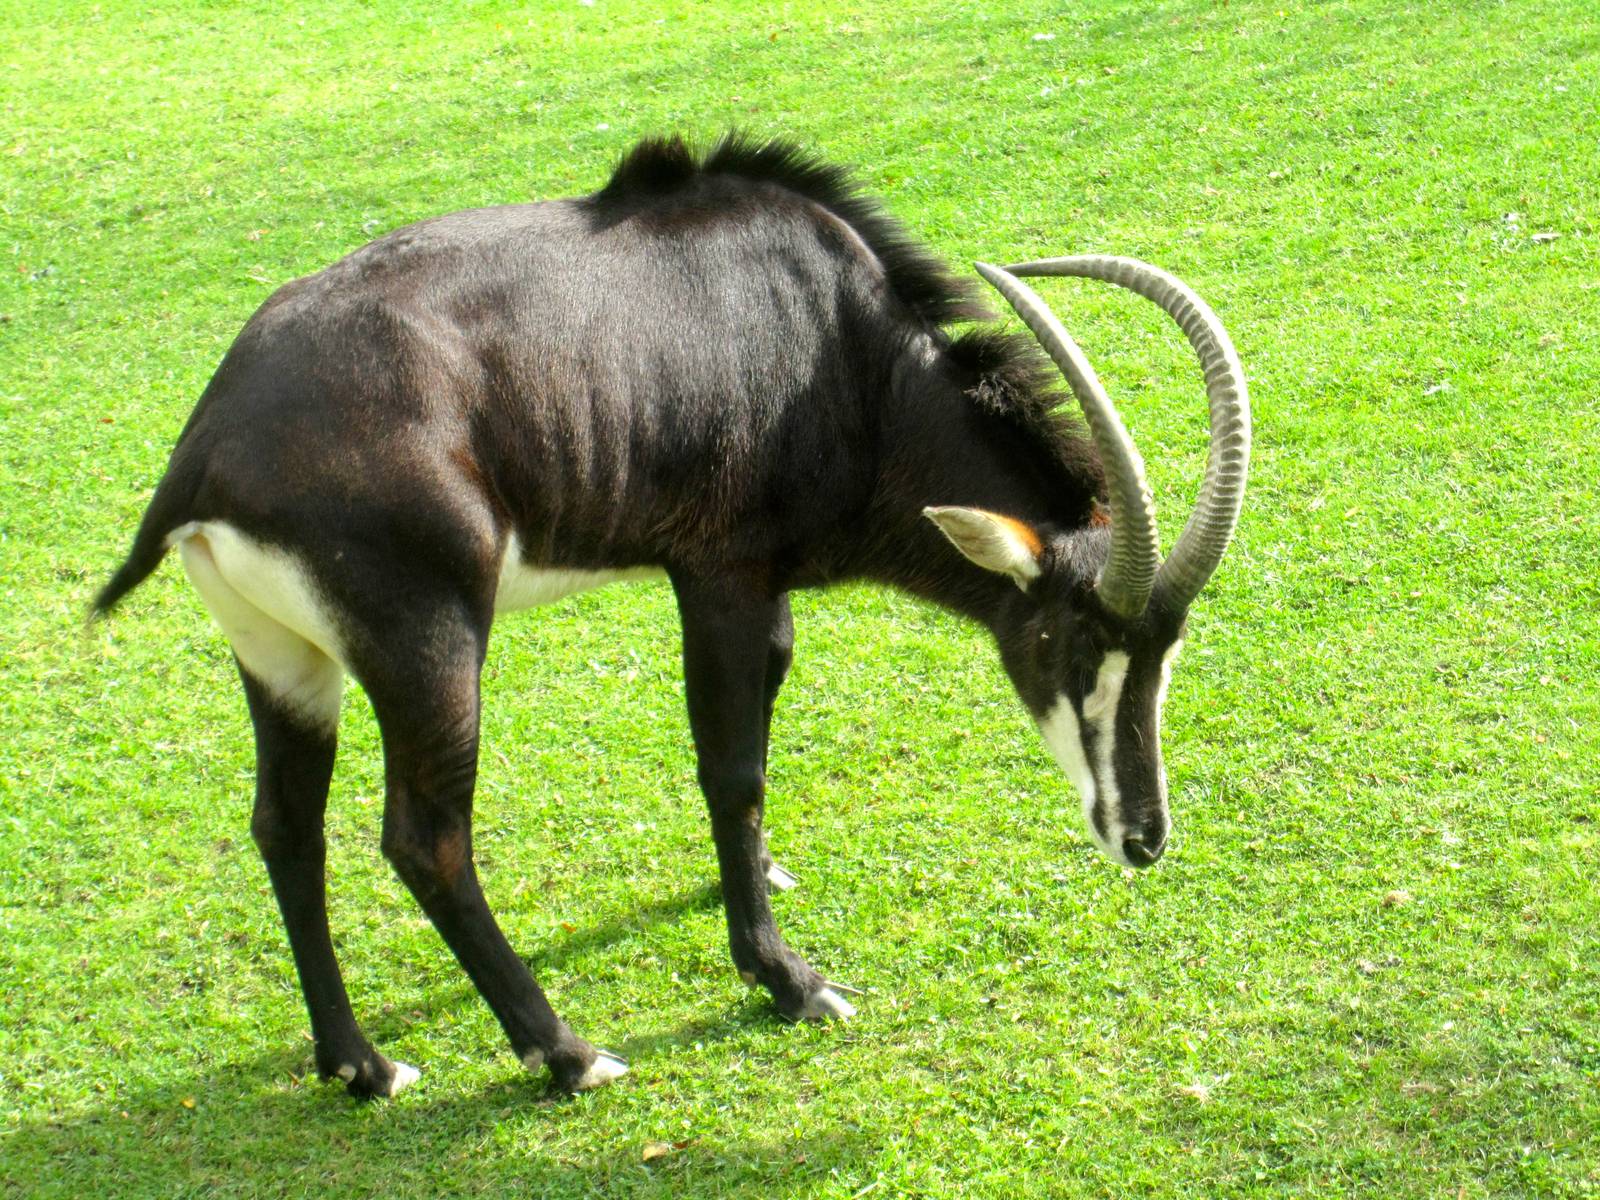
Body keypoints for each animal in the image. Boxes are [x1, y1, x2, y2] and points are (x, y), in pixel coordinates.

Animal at [94, 134, 1249, 1098]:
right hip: (428, 645)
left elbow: (756, 739)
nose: (1143, 839)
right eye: (1070, 640)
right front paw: (785, 978)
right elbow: (731, 766)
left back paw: (361, 1065)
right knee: (425, 840)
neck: (845, 355)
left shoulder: (763, 591)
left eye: (1166, 651)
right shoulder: (720, 575)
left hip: (286, 660)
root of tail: (208, 444)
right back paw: (567, 1054)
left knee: (285, 828)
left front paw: (760, 877)